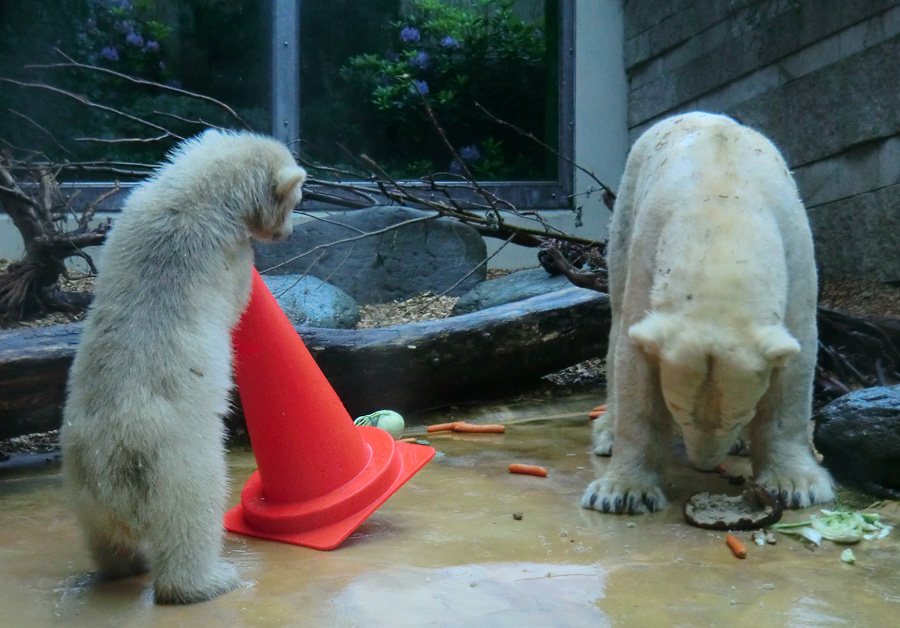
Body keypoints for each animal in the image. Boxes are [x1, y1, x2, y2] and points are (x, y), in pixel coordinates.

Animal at [584, 113, 836, 516]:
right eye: (677, 409)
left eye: (741, 413)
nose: (703, 463)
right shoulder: (648, 251)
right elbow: (634, 360)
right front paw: (622, 492)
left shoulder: (796, 254)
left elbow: (796, 363)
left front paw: (797, 484)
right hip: (625, 211)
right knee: (616, 313)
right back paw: (607, 431)